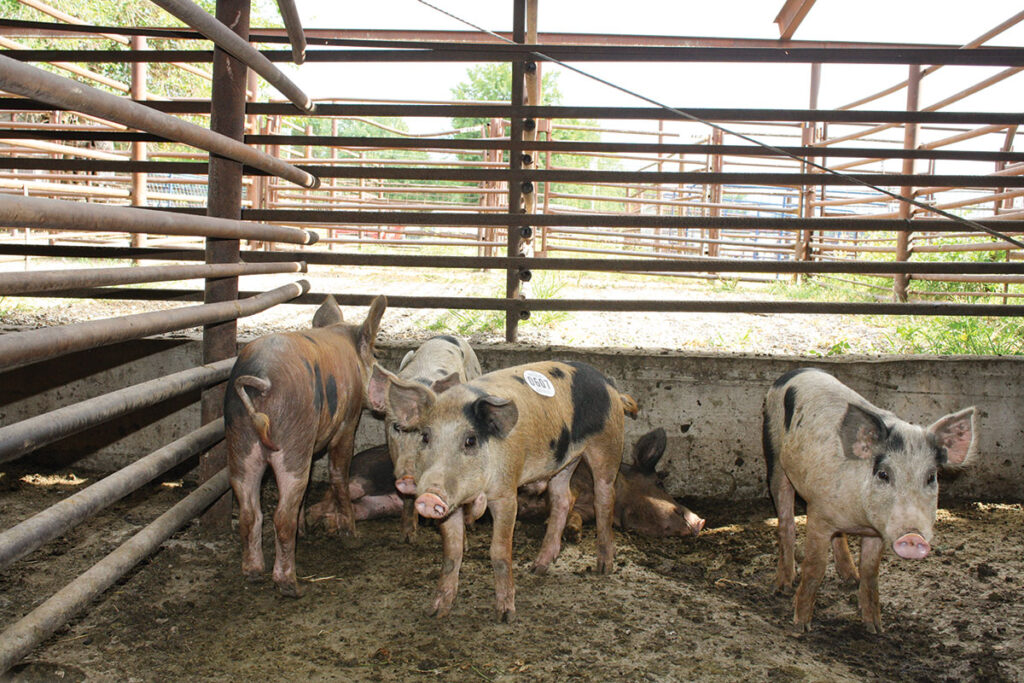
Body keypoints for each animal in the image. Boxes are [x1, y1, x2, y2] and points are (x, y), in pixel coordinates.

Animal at [227, 296, 387, 593]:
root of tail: (261, 379)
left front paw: (306, 532)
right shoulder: (347, 423)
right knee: (281, 516)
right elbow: (338, 475)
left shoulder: (311, 443)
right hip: (291, 442)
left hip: (240, 443)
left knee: (250, 512)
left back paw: (253, 573)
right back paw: (290, 586)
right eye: (375, 356)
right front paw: (352, 537)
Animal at [368, 360, 638, 622]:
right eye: (425, 436)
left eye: (470, 440)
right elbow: (451, 553)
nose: (428, 496)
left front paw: (505, 615)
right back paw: (538, 568)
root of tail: (609, 385)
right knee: (564, 499)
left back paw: (604, 567)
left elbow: (499, 552)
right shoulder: (451, 505)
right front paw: (435, 612)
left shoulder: (506, 494)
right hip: (564, 462)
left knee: (604, 498)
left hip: (607, 446)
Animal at [765, 370, 978, 634]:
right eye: (884, 474)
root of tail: (793, 373)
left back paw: (850, 578)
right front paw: (800, 627)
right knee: (786, 522)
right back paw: (783, 587)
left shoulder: (877, 532)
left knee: (839, 539)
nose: (913, 536)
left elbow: (870, 573)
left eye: (931, 477)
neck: (861, 520)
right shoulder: (819, 515)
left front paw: (875, 628)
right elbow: (815, 568)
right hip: (775, 456)